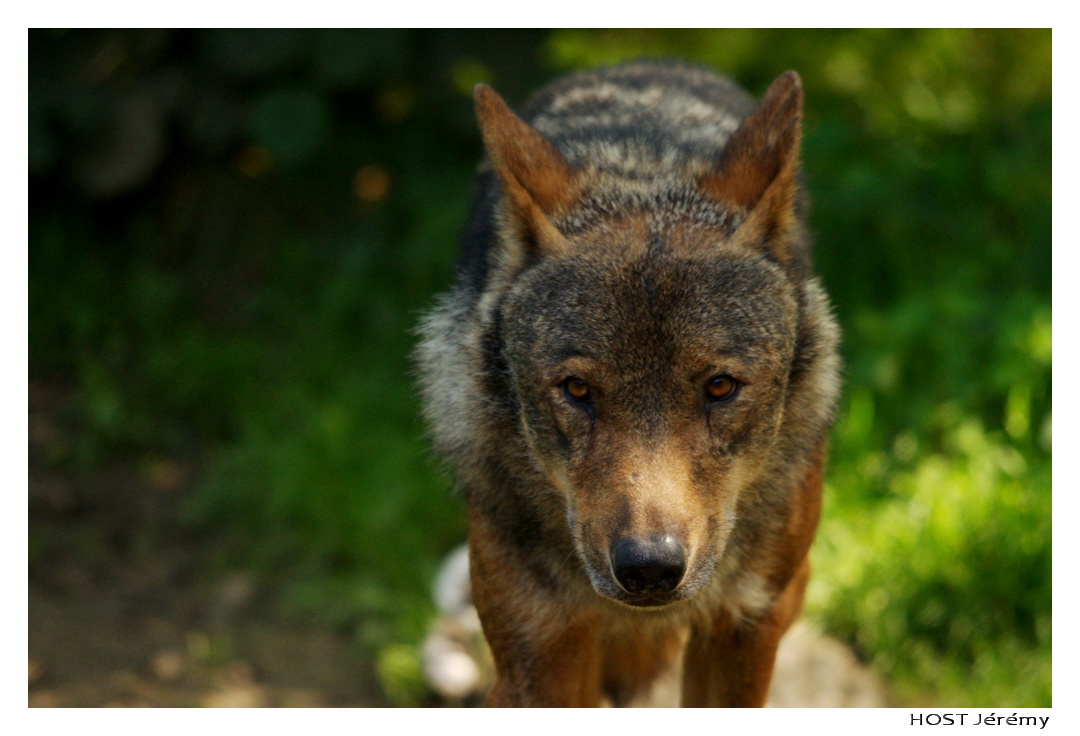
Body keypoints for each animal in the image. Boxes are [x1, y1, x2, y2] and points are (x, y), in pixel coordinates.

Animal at [414, 63, 842, 704]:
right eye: (576, 390)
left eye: (720, 387)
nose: (649, 568)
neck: (642, 175)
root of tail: (647, 62)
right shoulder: (538, 649)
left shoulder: (741, 629)